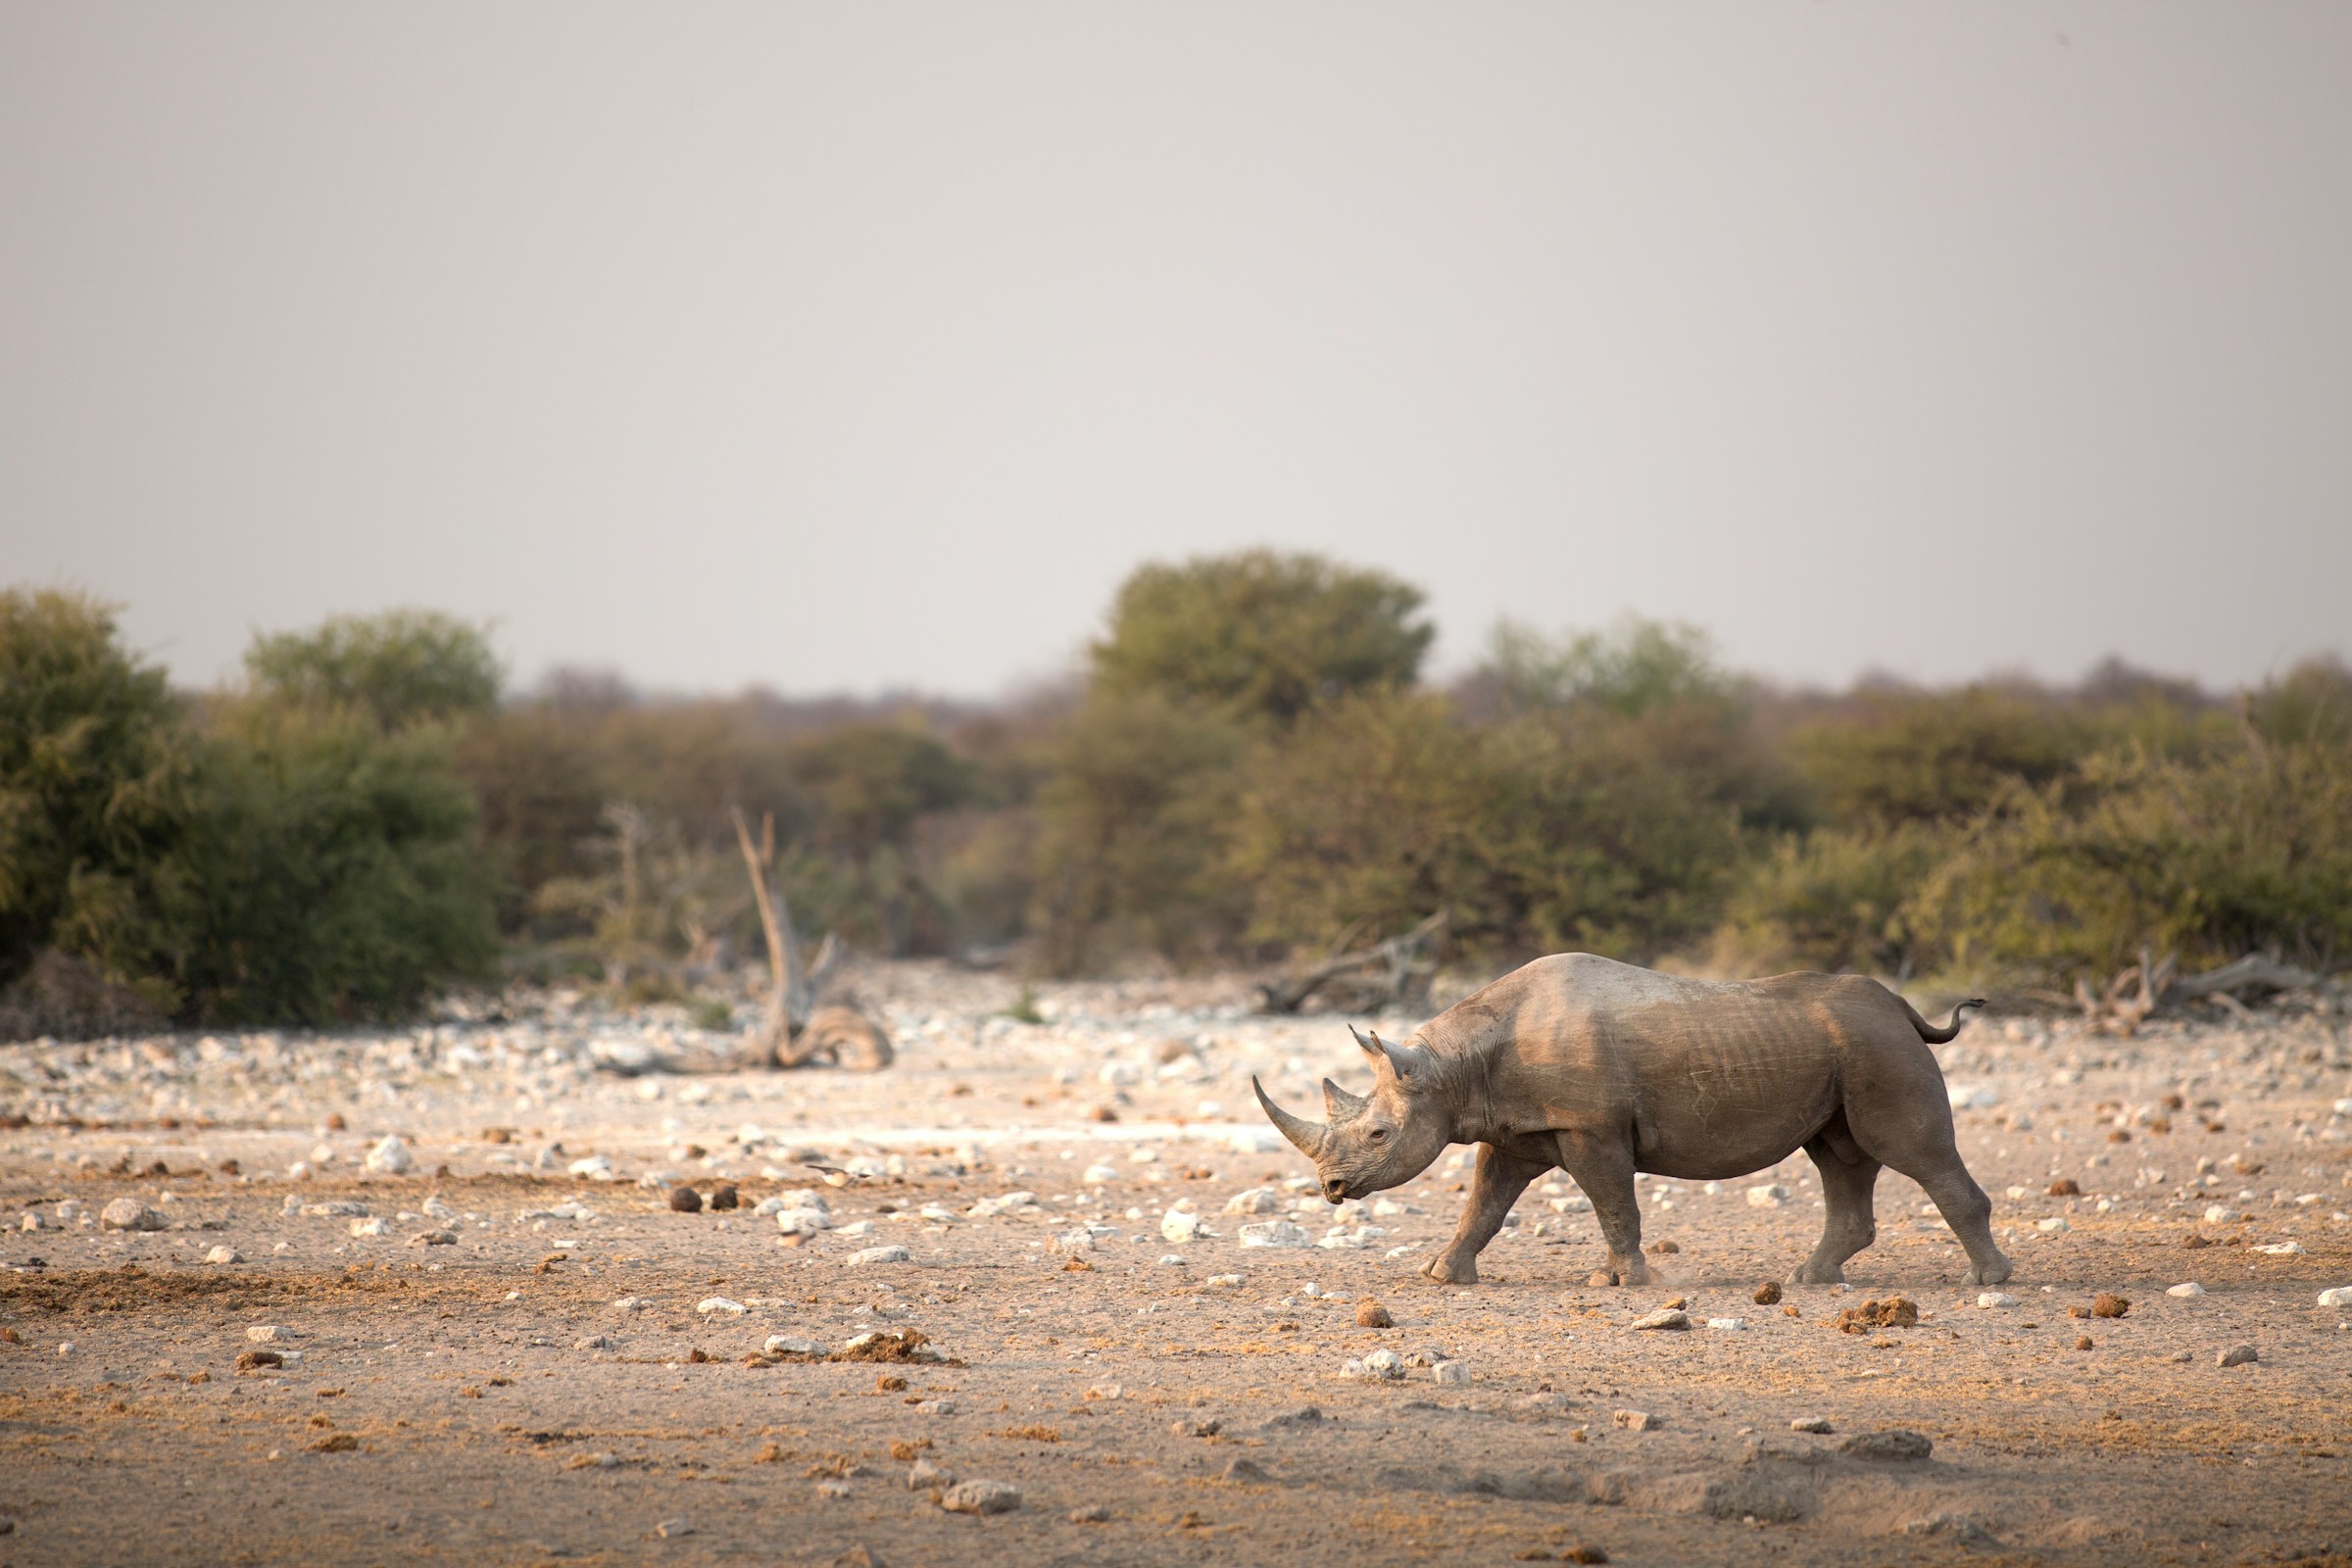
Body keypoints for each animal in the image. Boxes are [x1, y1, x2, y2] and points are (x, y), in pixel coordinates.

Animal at [1252, 953, 2012, 1288]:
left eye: (1379, 1135)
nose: (1330, 1189)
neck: (1451, 1066)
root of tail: (1903, 1008)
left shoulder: (1592, 1127)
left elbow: (1614, 1202)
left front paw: (1621, 1283)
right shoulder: (1519, 1129)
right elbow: (1486, 1203)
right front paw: (1443, 1274)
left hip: (1880, 1047)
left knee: (1910, 1151)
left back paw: (1989, 1282)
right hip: (1851, 1051)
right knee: (1840, 1157)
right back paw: (1809, 1279)